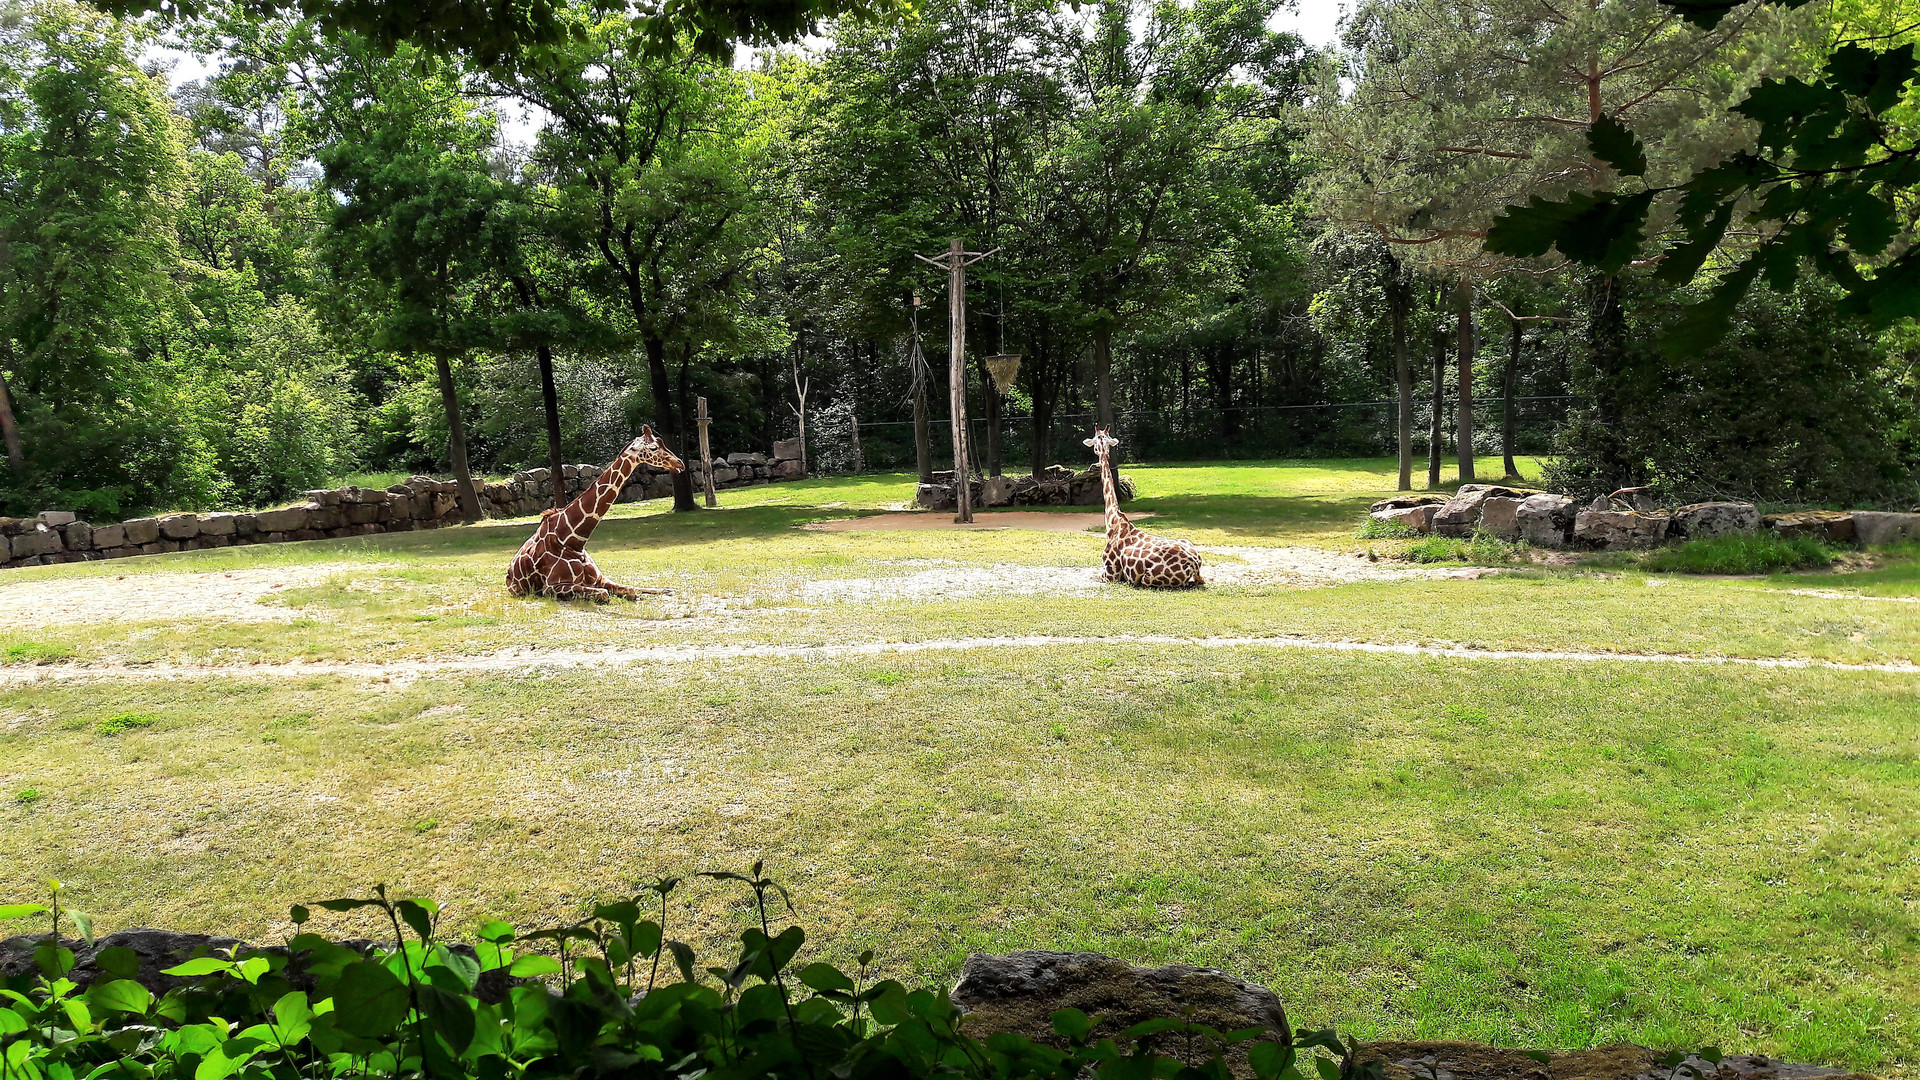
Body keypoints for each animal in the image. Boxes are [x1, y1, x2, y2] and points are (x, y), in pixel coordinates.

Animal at [506, 424, 687, 599]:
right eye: (654, 447)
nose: (680, 463)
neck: (574, 541)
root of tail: (508, 575)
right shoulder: (551, 587)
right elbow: (605, 594)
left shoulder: (600, 578)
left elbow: (631, 589)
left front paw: (667, 590)